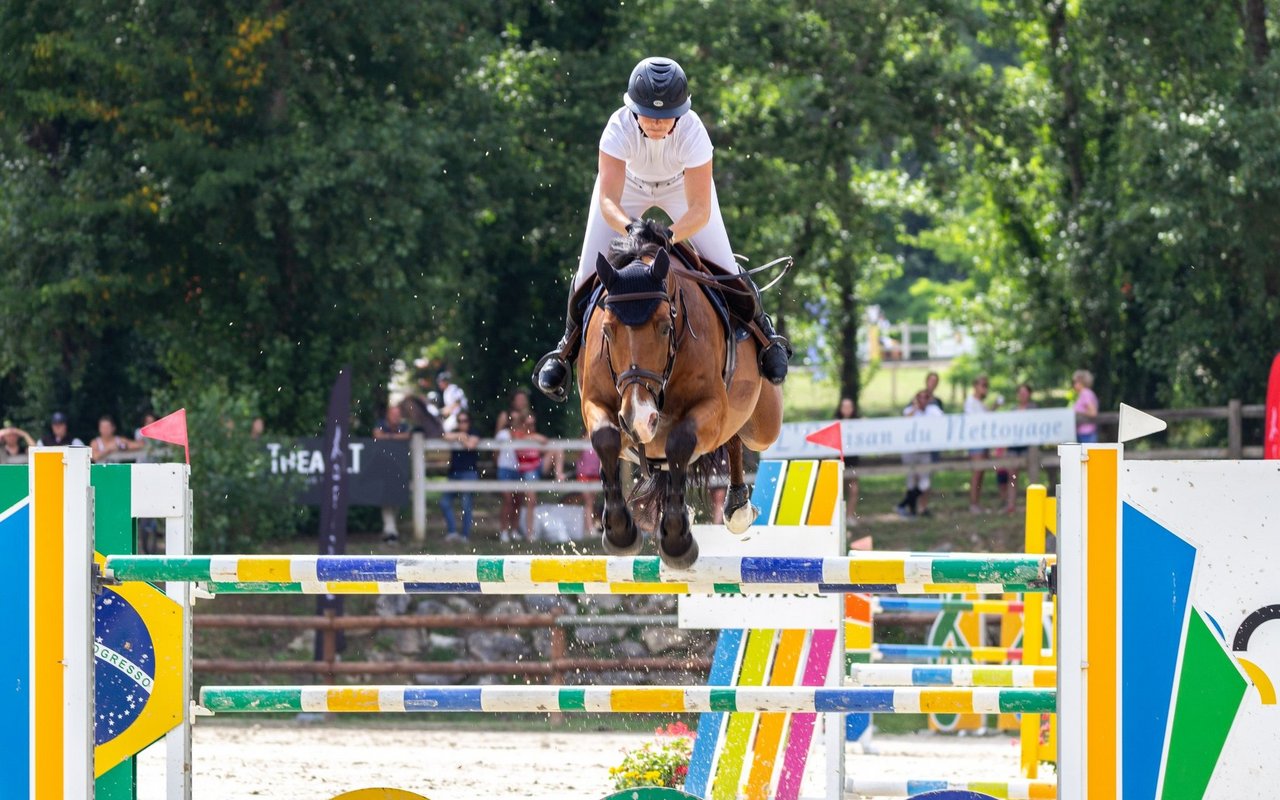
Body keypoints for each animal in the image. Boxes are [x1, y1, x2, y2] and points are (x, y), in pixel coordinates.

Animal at [578, 234, 778, 565]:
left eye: (664, 326)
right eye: (607, 329)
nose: (639, 418)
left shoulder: (711, 407)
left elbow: (680, 443)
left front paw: (676, 541)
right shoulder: (596, 403)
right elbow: (606, 439)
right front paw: (620, 533)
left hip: (762, 426)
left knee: (738, 436)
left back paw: (737, 508)